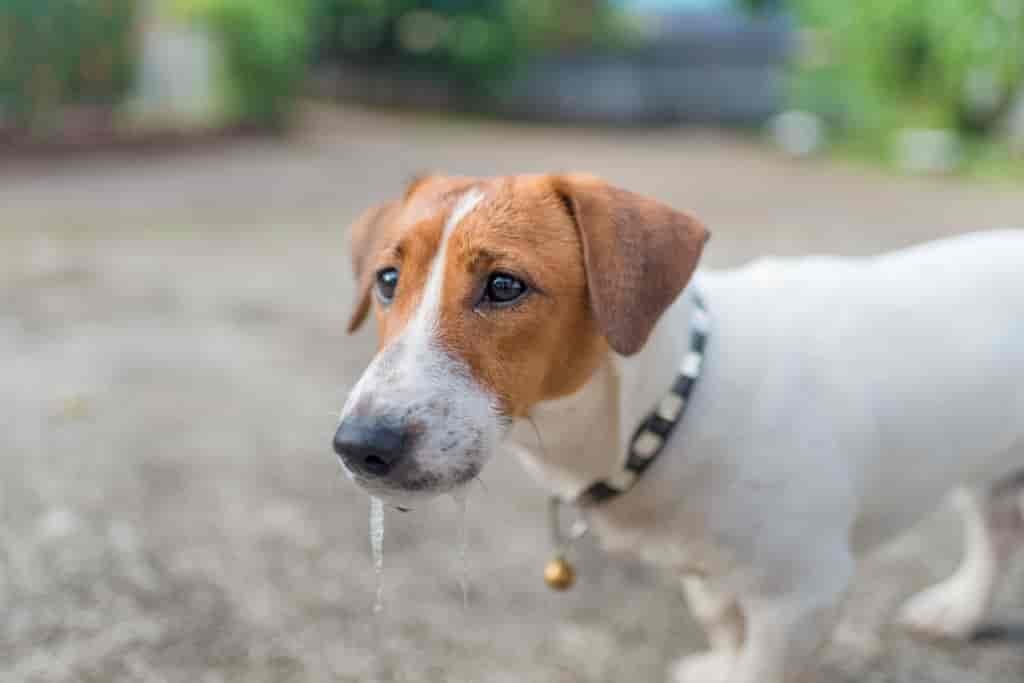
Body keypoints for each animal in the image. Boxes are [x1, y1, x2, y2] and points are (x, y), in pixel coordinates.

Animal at [333, 175, 1024, 683]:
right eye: (387, 280)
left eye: (505, 285)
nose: (360, 447)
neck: (668, 404)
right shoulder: (709, 576)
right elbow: (727, 627)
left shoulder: (803, 595)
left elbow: (763, 667)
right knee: (996, 538)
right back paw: (960, 611)